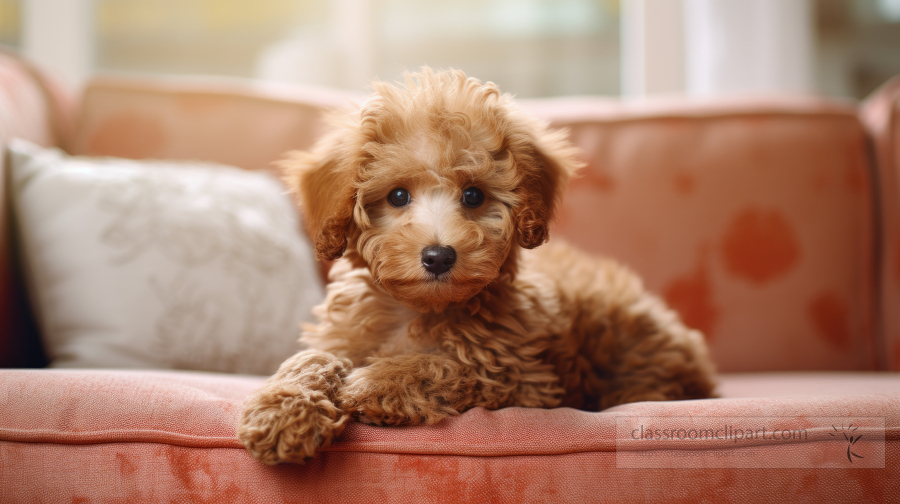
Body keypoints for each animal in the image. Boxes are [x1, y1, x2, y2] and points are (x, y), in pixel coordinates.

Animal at [239, 68, 716, 464]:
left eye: (473, 195)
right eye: (397, 196)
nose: (438, 255)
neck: (418, 311)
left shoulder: (524, 377)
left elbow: (451, 365)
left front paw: (374, 382)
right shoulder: (342, 335)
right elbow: (311, 358)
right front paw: (281, 411)